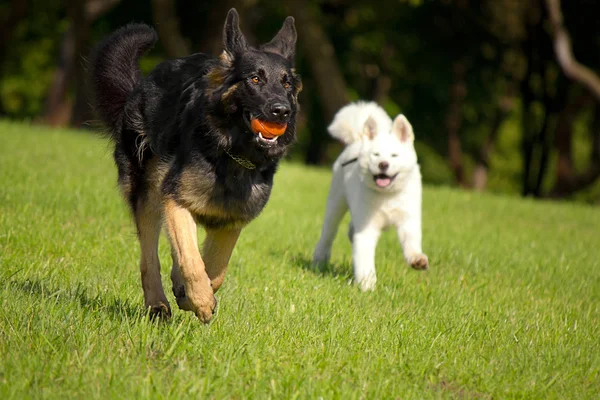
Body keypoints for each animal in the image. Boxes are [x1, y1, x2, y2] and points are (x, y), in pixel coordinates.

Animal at [90, 8, 300, 322]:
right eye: (255, 79)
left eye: (286, 84)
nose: (281, 111)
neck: (230, 154)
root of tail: (140, 86)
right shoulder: (175, 200)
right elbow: (191, 259)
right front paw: (200, 300)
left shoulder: (231, 220)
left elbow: (215, 268)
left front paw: (193, 293)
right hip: (148, 194)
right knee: (149, 257)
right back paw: (157, 304)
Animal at [312, 101, 428, 290]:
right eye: (376, 155)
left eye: (394, 155)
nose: (383, 164)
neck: (387, 196)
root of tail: (357, 139)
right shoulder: (367, 228)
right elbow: (364, 257)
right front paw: (367, 284)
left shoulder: (407, 220)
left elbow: (411, 242)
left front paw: (417, 259)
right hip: (336, 204)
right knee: (328, 234)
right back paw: (319, 260)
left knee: (351, 229)